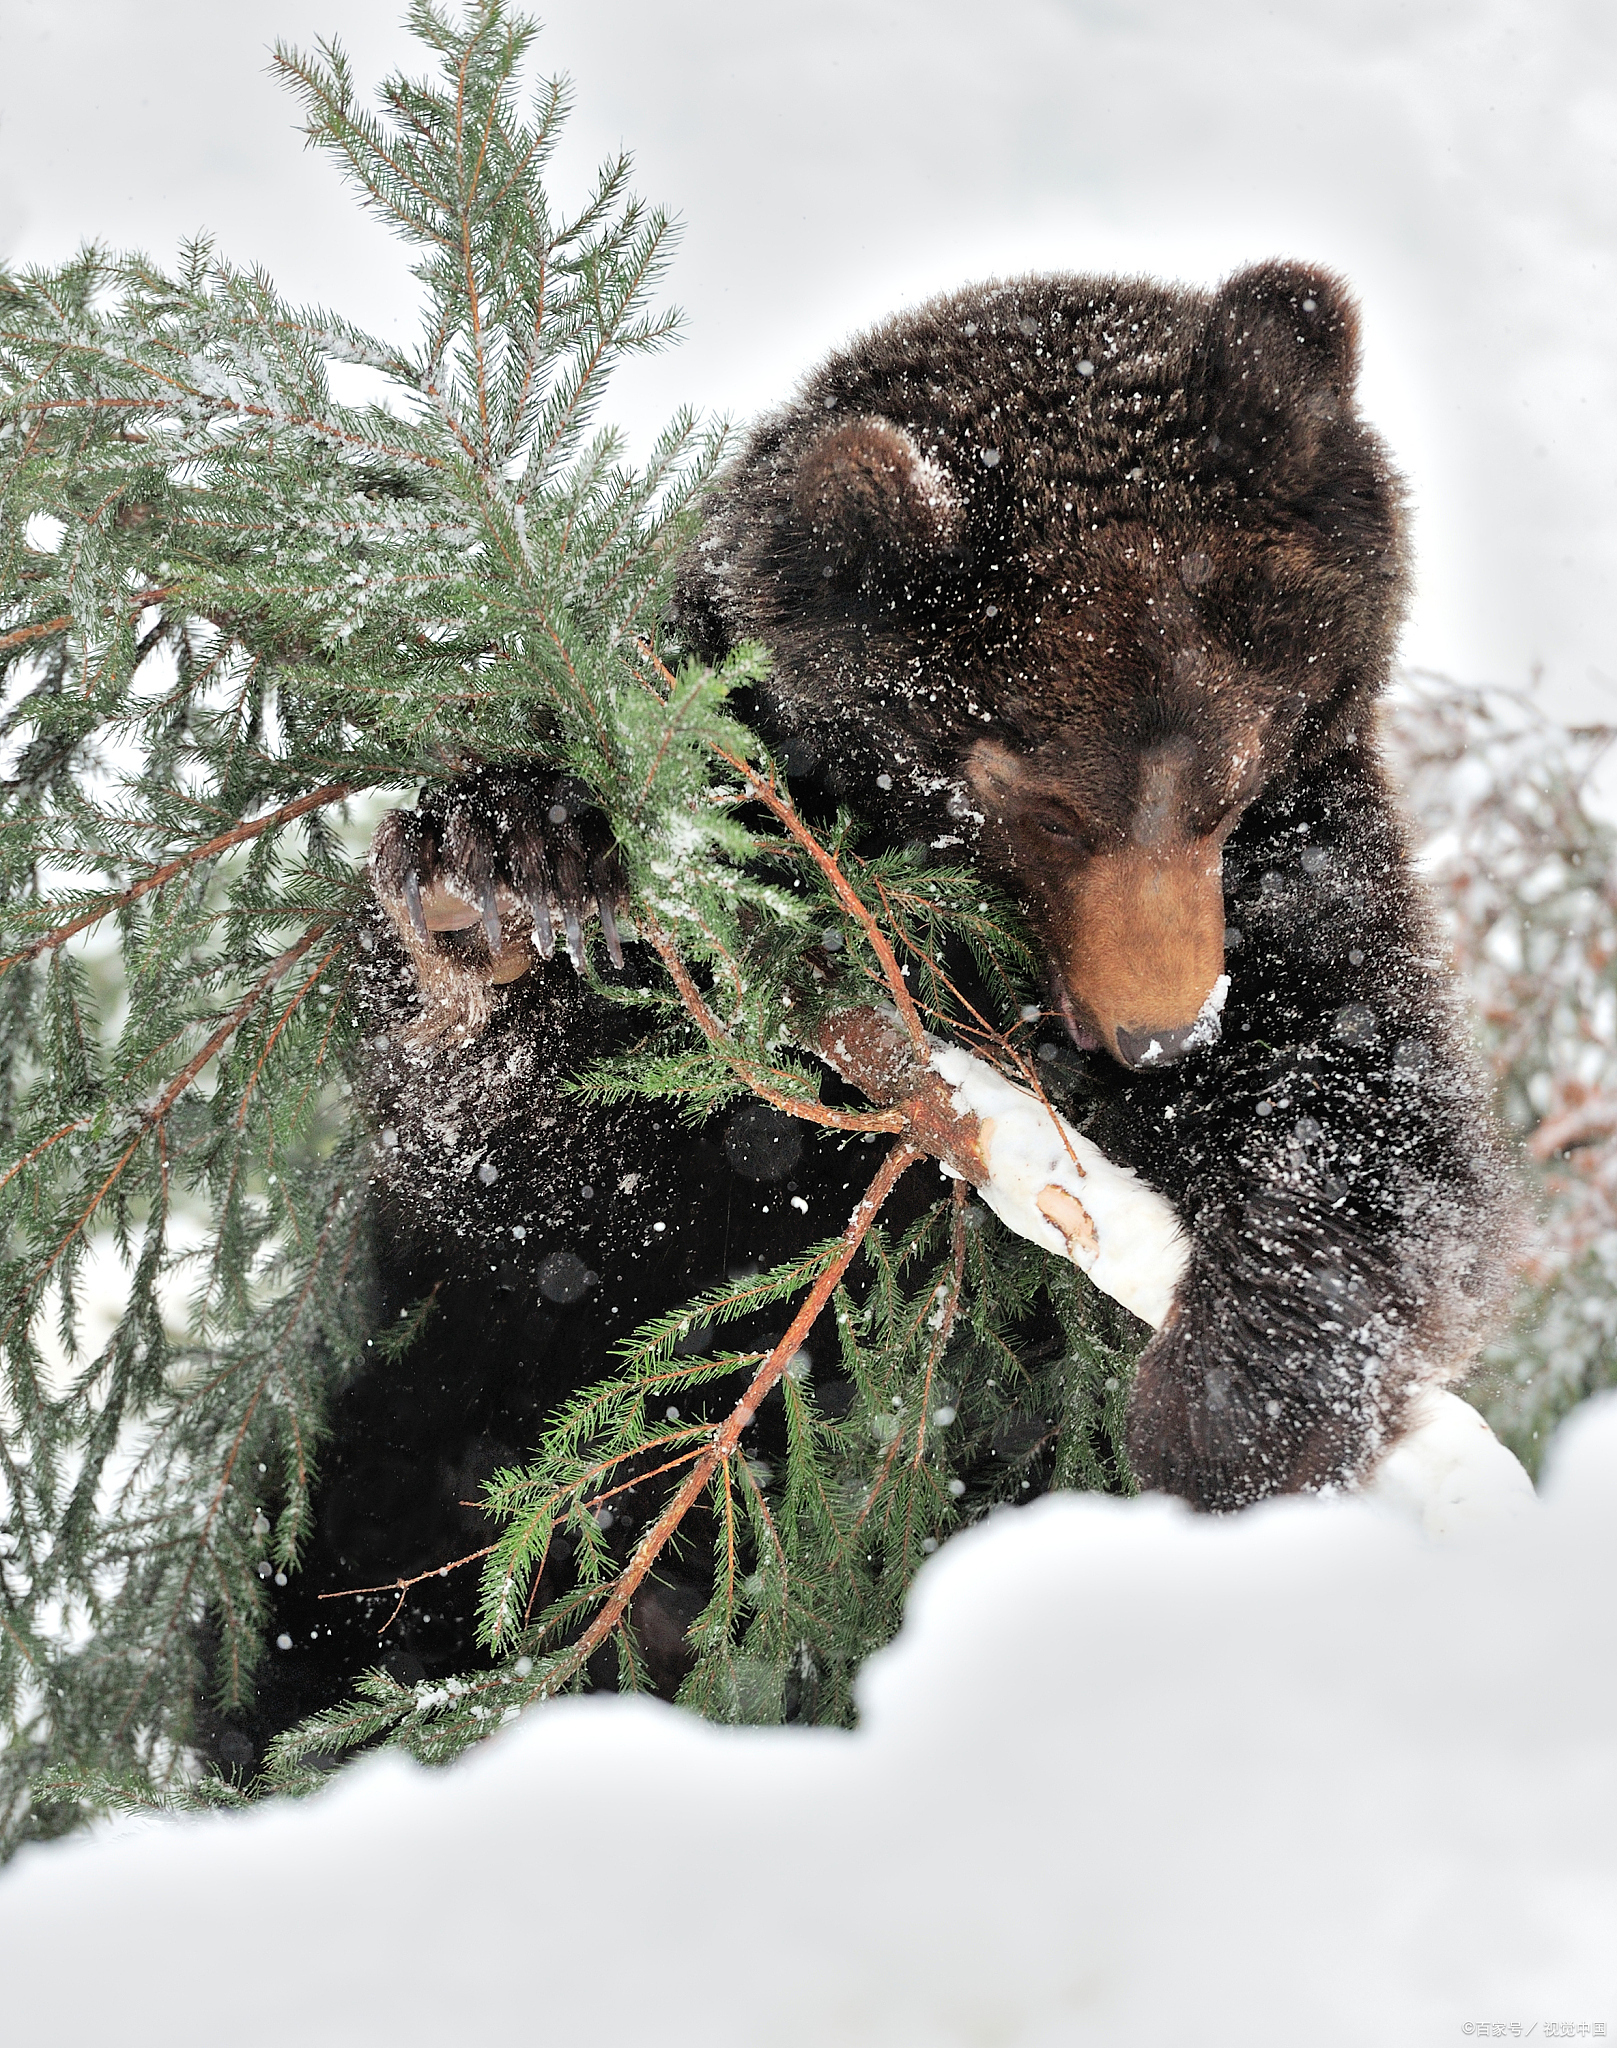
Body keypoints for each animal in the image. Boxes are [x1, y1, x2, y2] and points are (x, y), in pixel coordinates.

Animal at [207, 259, 1513, 1770]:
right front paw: (496, 879)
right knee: (351, 1575)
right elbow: (540, 1180)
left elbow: (1372, 1121)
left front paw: (1231, 1414)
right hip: (425, 1432)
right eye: (1037, 794)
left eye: (1233, 773)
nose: (1164, 1034)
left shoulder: (1308, 881)